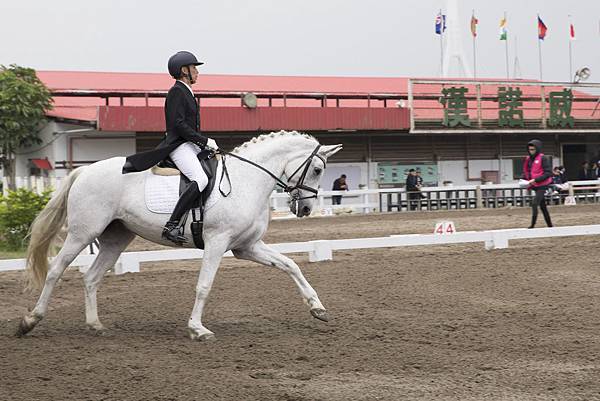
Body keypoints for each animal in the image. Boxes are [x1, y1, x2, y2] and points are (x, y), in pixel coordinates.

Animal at [17, 131, 342, 338]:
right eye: (316, 170)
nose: (306, 209)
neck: (247, 181)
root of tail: (84, 171)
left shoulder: (247, 246)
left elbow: (291, 265)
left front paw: (318, 308)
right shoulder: (217, 243)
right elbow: (204, 286)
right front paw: (198, 329)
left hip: (115, 238)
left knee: (91, 277)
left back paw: (95, 325)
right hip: (83, 232)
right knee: (56, 271)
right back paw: (30, 321)